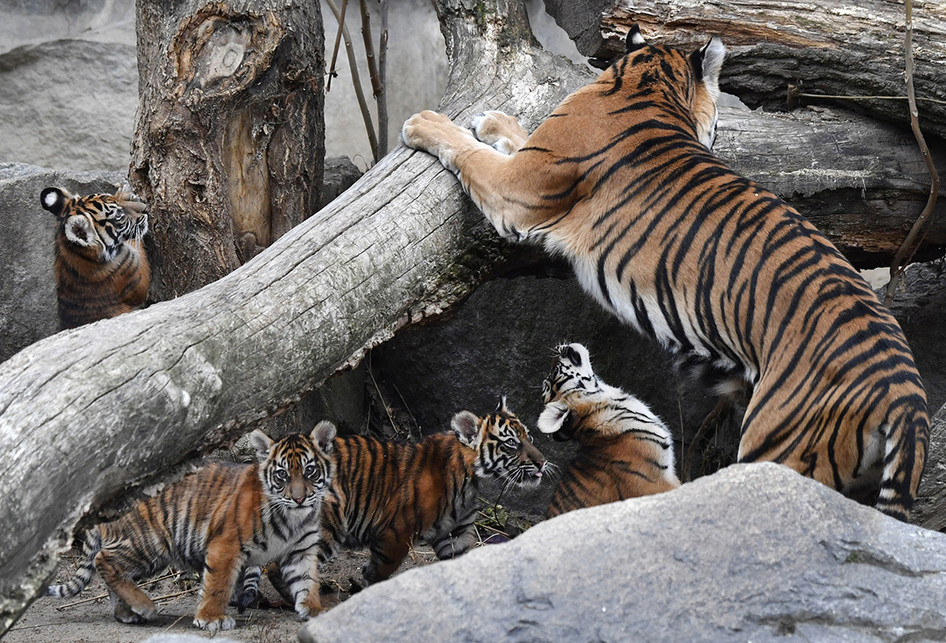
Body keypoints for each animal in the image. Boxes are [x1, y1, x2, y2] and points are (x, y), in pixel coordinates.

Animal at [48, 422, 338, 632]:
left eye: (310, 471)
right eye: (282, 475)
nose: (299, 498)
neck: (293, 518)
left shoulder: (301, 550)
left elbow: (307, 581)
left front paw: (316, 611)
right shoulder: (225, 545)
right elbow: (217, 585)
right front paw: (212, 619)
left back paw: (127, 613)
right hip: (149, 544)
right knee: (103, 560)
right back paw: (145, 606)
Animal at [400, 26, 928, 524]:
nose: (718, 135)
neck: (647, 81)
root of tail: (906, 397)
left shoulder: (518, 188)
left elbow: (471, 154)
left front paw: (424, 123)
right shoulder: (532, 161)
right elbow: (517, 136)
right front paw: (493, 120)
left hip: (777, 449)